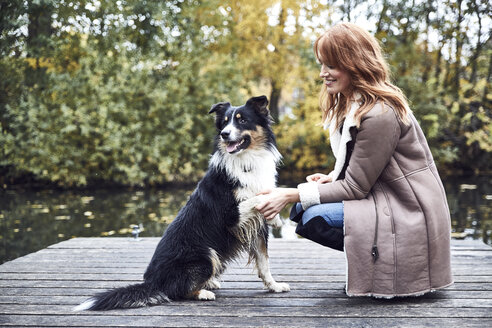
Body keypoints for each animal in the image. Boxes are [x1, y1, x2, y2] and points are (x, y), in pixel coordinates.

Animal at [75, 95, 290, 310]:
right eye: (224, 123)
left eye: (242, 120)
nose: (224, 134)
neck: (246, 162)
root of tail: (153, 283)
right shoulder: (230, 215)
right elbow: (258, 198)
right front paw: (277, 220)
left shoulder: (256, 226)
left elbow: (263, 261)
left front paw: (274, 286)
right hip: (206, 255)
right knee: (177, 291)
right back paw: (203, 292)